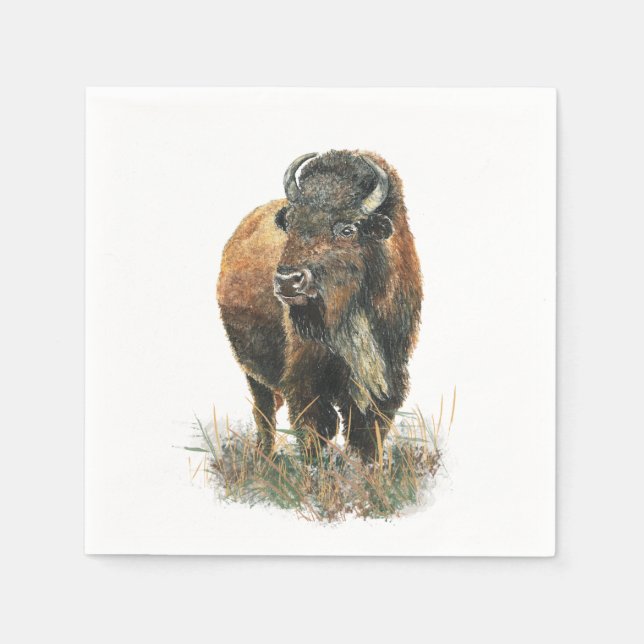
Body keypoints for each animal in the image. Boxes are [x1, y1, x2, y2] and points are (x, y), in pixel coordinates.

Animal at [217, 150, 422, 459]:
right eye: (291, 222)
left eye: (347, 229)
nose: (288, 281)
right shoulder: (307, 382)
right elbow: (315, 429)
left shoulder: (388, 377)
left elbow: (366, 436)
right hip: (252, 370)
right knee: (264, 412)